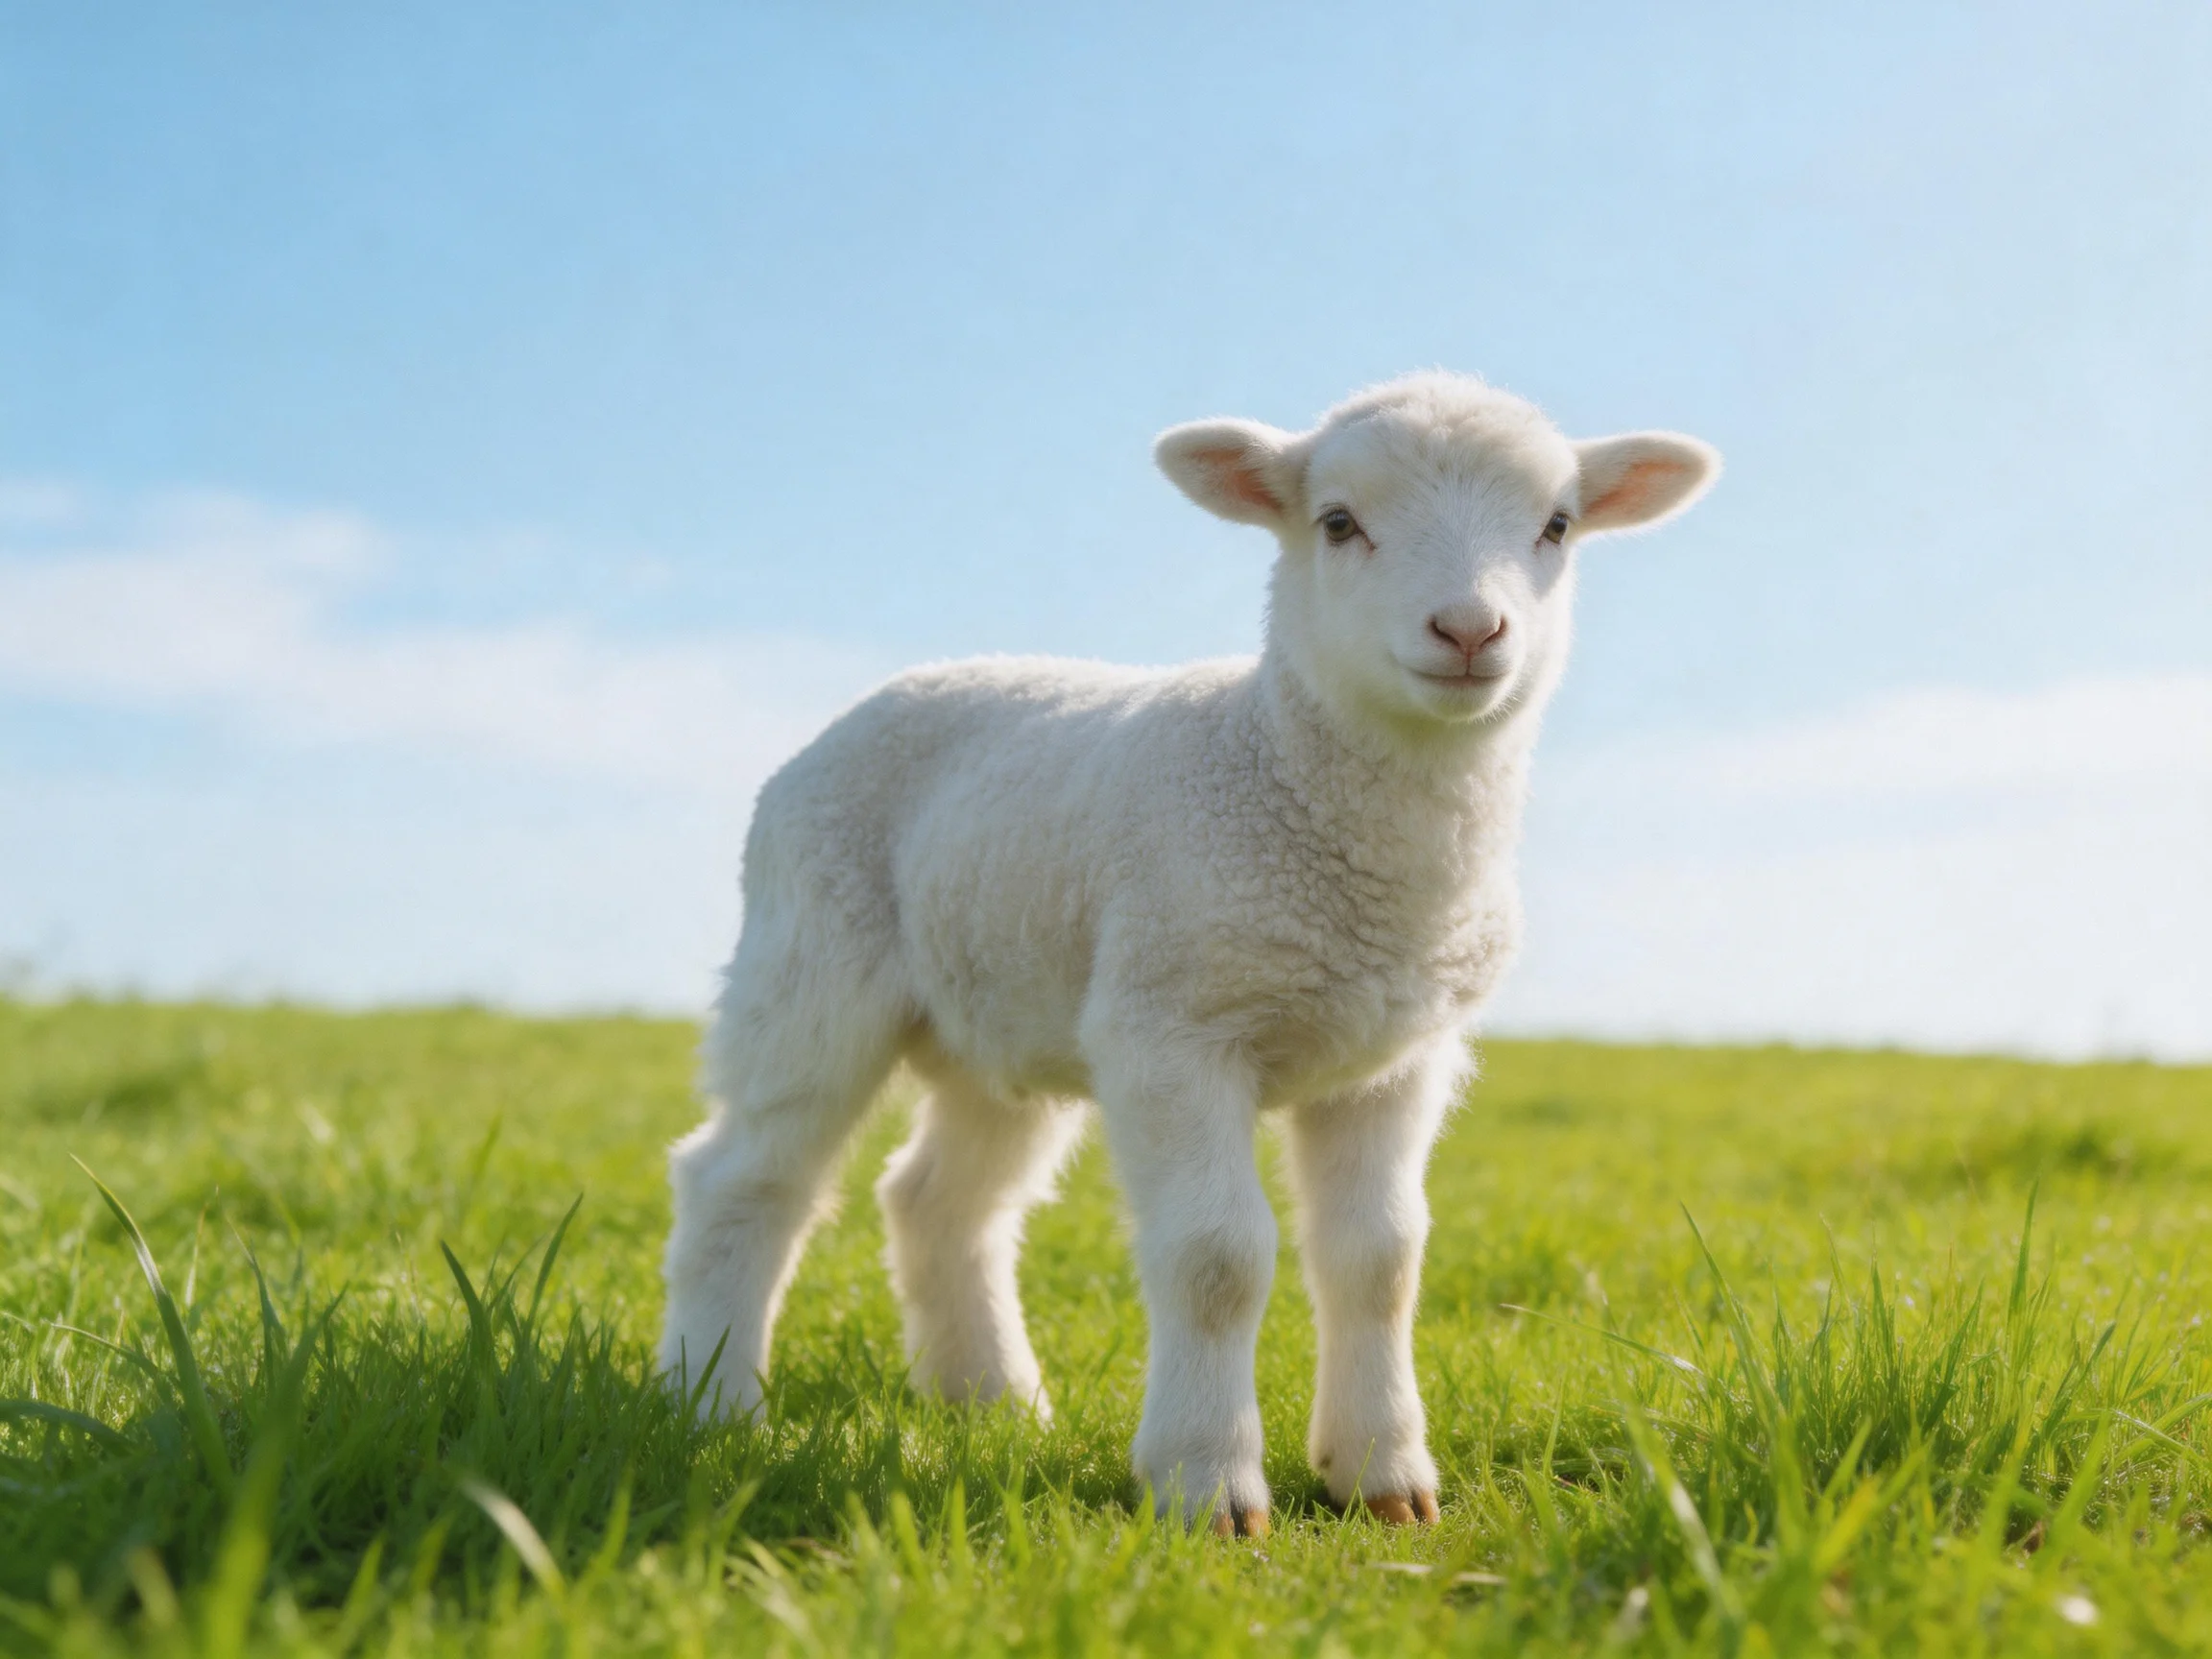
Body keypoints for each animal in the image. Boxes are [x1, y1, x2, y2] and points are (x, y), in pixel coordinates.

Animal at [660, 371, 1719, 1535]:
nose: (1469, 629)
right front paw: (1207, 1486)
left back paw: (993, 1403)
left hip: (1010, 1009)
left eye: (1557, 525)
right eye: (1337, 523)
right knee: (744, 1179)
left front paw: (1383, 1477)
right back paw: (710, 1404)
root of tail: (914, 680)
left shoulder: (1394, 1056)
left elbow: (1380, 1258)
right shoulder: (1175, 1030)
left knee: (940, 1199)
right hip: (812, 958)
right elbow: (1217, 1258)